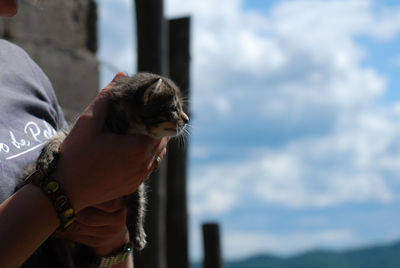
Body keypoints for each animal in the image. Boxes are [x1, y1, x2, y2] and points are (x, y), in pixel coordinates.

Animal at [23, 71, 189, 266]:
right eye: (173, 109)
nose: (187, 119)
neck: (122, 129)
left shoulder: (135, 182)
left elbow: (138, 200)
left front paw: (137, 231)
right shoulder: (71, 133)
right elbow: (58, 136)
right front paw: (46, 157)